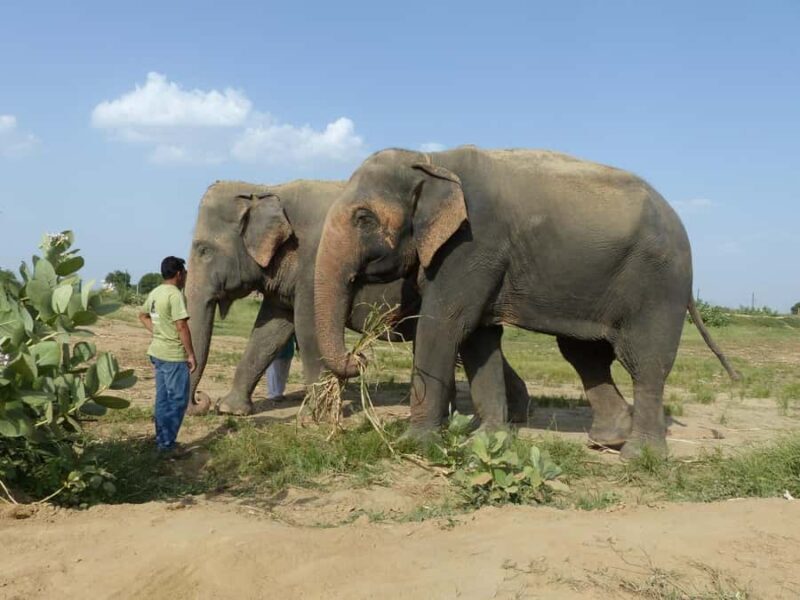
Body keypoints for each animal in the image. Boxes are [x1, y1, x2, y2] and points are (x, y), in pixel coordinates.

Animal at [185, 179, 530, 419]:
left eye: (203, 250)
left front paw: (320, 415)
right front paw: (231, 410)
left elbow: (306, 329)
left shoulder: (312, 265)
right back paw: (517, 414)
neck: (267, 188)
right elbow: (269, 332)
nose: (201, 401)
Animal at [313, 146, 739, 458]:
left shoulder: (472, 245)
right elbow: (478, 338)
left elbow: (444, 325)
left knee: (645, 361)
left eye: (364, 218)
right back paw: (606, 441)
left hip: (659, 283)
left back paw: (638, 457)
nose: (360, 358)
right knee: (584, 355)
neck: (433, 161)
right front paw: (488, 439)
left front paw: (413, 445)